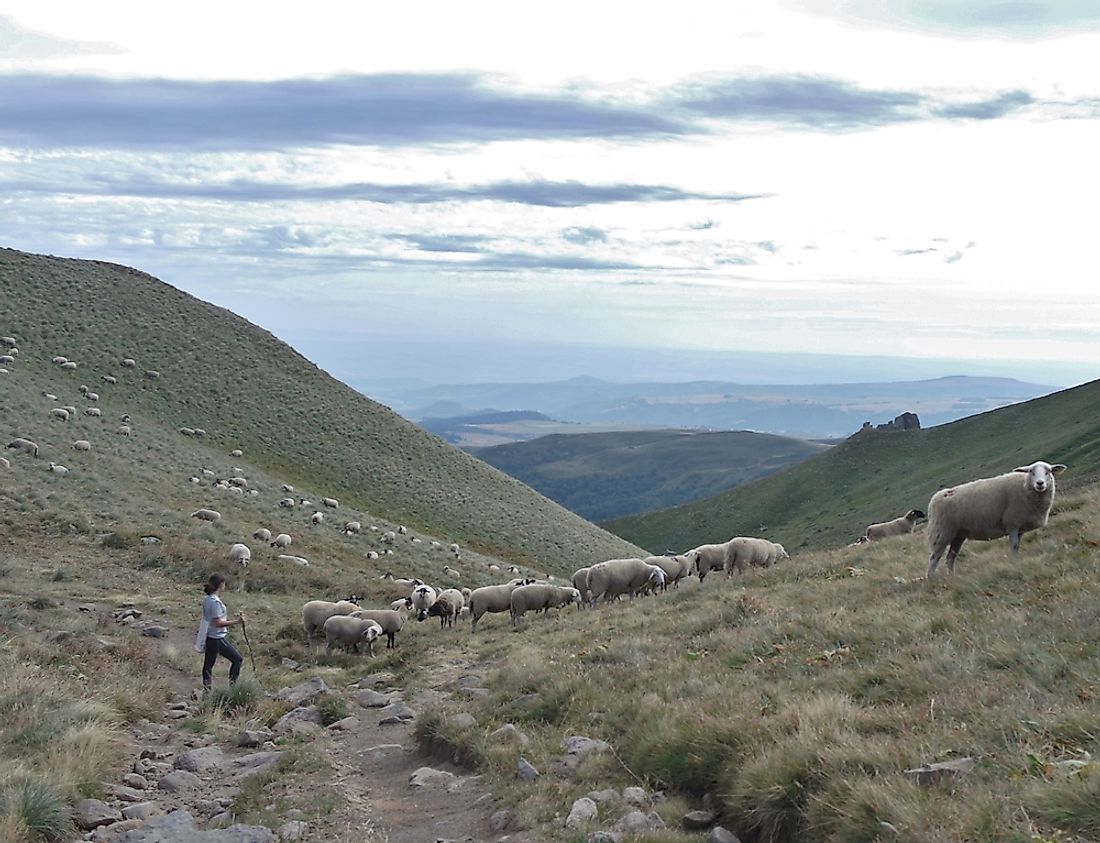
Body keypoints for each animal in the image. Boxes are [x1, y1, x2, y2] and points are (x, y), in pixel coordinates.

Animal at [924, 457, 1069, 576]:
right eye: (1030, 471)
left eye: (1049, 471)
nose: (1040, 483)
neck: (1025, 488)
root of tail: (935, 498)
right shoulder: (1012, 524)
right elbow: (1014, 546)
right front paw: (1014, 563)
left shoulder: (1020, 527)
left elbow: (1017, 547)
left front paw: (1016, 560)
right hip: (942, 532)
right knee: (934, 558)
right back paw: (931, 579)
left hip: (958, 535)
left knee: (950, 558)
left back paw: (952, 577)